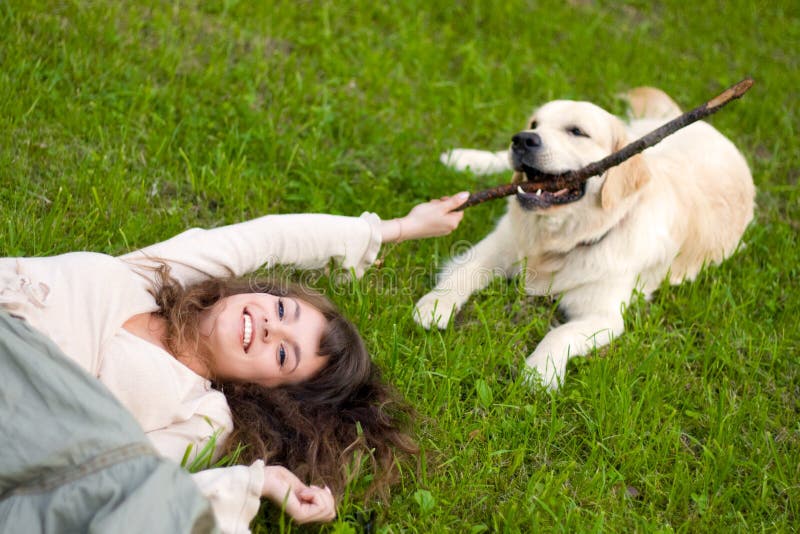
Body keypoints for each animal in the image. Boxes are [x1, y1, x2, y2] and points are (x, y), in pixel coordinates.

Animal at [416, 87, 752, 390]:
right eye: (535, 123)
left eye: (577, 131)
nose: (523, 138)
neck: (560, 238)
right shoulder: (502, 241)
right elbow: (463, 271)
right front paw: (435, 304)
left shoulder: (605, 316)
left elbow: (560, 333)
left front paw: (540, 371)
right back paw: (464, 158)